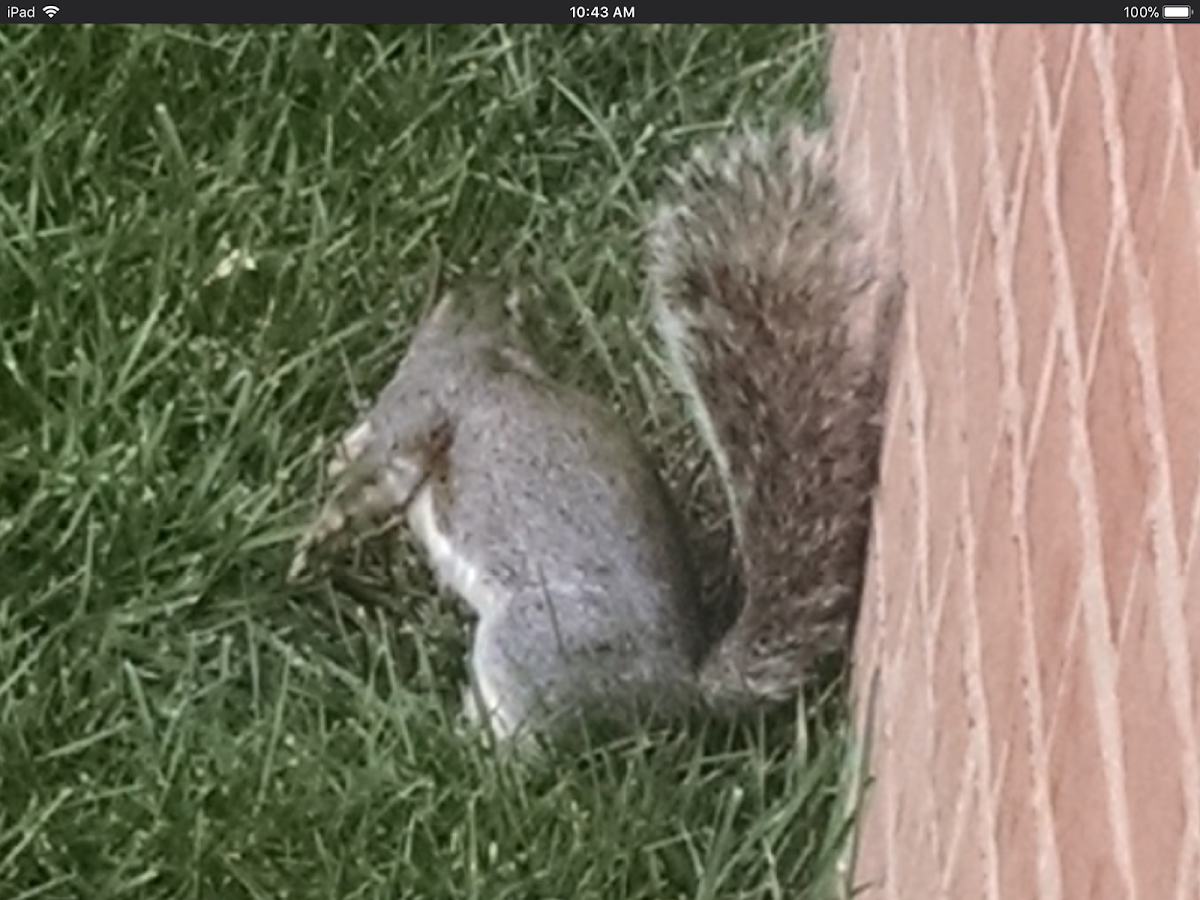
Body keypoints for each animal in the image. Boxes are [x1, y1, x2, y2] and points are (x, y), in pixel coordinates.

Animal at [288, 123, 902, 744]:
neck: (483, 350)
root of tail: (677, 690)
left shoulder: (424, 405)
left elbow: (378, 477)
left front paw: (314, 537)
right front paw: (338, 454)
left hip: (527, 644)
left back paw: (466, 740)